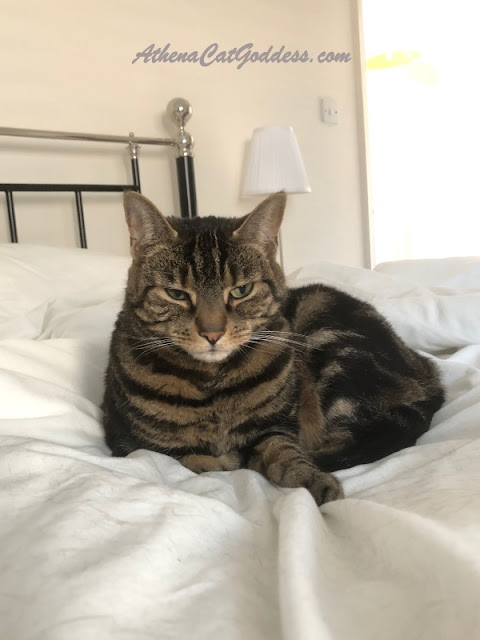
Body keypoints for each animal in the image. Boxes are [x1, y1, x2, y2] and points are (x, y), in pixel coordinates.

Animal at [103, 191, 444, 504]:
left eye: (241, 290)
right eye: (176, 294)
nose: (212, 333)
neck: (213, 384)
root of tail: (429, 372)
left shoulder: (276, 427)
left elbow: (285, 454)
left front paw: (311, 480)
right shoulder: (134, 445)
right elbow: (190, 459)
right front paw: (223, 459)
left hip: (332, 344)